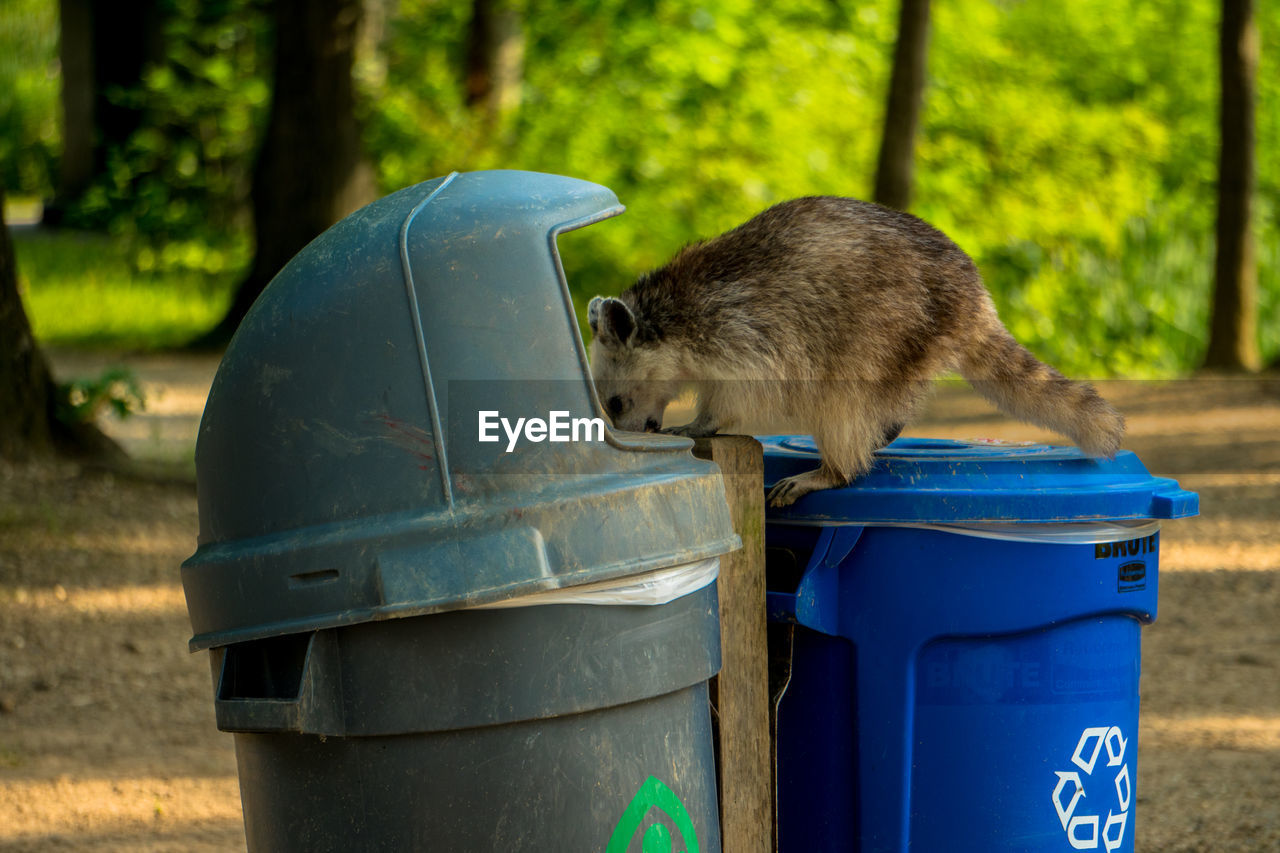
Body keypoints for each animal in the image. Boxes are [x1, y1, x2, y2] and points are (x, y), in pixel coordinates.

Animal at [586, 197, 1126, 504]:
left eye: (615, 403)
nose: (631, 436)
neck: (664, 316)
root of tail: (972, 299)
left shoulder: (741, 331)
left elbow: (740, 394)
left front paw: (704, 421)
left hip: (887, 325)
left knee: (840, 405)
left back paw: (835, 470)